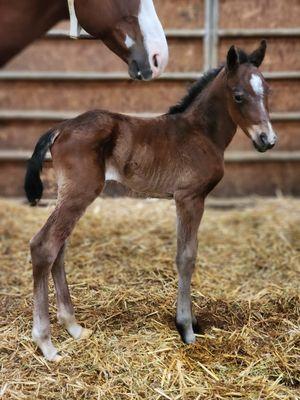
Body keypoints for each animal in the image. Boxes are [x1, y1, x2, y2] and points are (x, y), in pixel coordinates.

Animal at [25, 41, 276, 362]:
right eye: (239, 95)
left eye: (267, 91)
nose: (267, 139)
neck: (200, 132)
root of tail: (61, 128)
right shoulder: (189, 197)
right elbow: (186, 257)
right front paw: (186, 328)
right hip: (79, 194)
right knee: (44, 246)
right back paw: (46, 343)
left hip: (69, 195)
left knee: (59, 248)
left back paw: (74, 327)